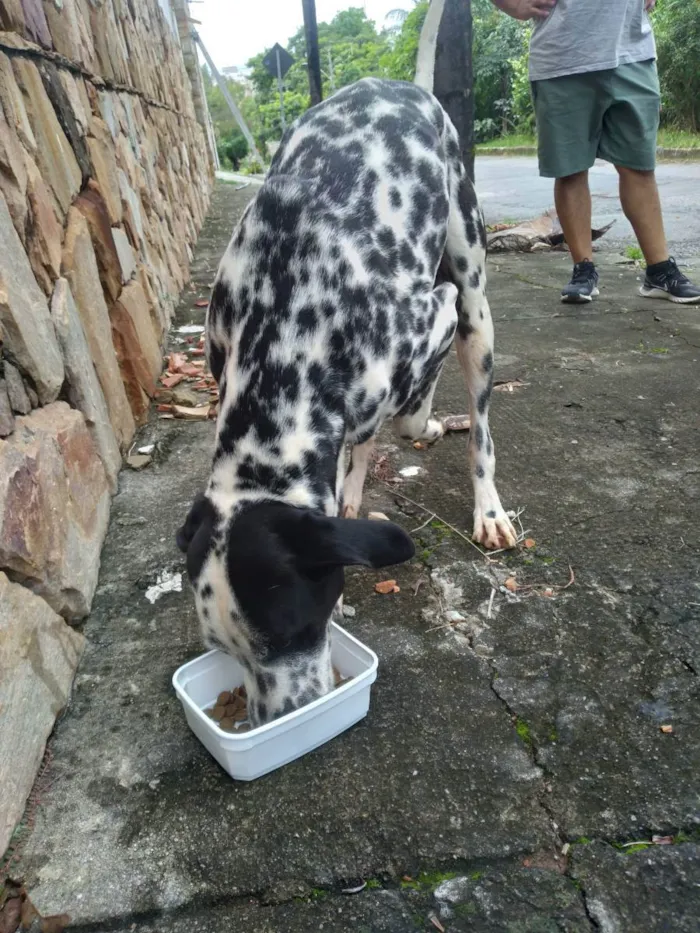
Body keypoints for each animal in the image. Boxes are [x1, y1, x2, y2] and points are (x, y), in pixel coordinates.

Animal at [176, 5, 516, 728]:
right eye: (223, 648)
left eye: (297, 626)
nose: (280, 717)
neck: (291, 319)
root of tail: (405, 87)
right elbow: (358, 441)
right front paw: (350, 482)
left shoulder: (436, 314)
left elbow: (412, 413)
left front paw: (428, 422)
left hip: (474, 297)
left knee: (475, 425)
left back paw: (487, 505)